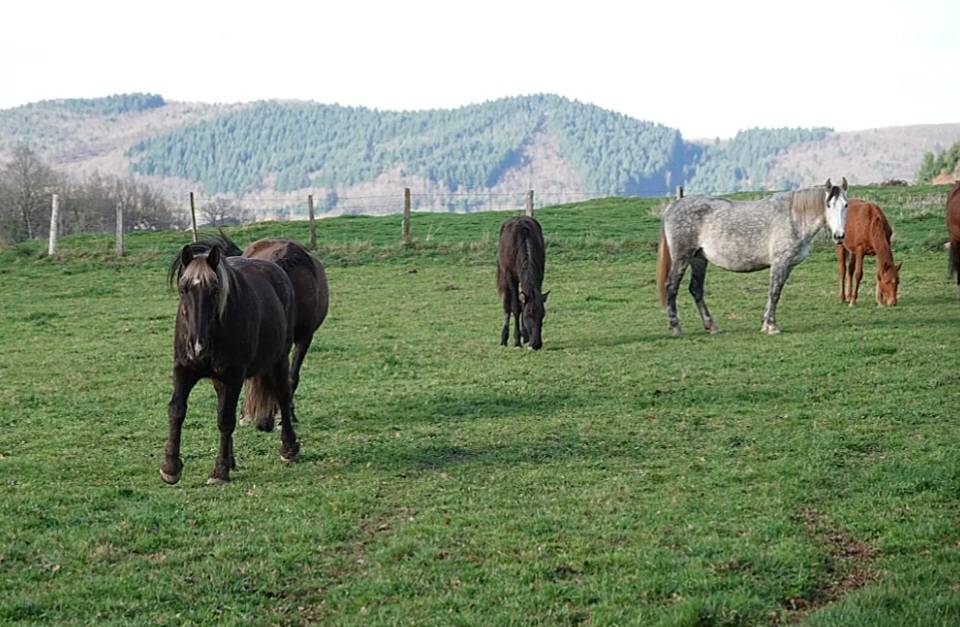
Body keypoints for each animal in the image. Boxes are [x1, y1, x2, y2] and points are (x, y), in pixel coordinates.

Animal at [161, 240, 300, 485]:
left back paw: (288, 448)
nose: (197, 347)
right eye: (183, 289)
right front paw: (170, 467)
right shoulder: (184, 369)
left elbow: (226, 420)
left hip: (279, 360)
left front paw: (220, 471)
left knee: (283, 396)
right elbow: (176, 410)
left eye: (215, 290)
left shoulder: (234, 376)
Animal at [496, 216, 549, 350]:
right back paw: (503, 339)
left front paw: (525, 338)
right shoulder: (510, 277)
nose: (536, 344)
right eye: (528, 316)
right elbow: (515, 307)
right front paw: (517, 341)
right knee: (507, 305)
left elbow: (523, 303)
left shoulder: (540, 275)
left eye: (542, 315)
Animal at [656, 178, 848, 336]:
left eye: (846, 205)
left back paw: (711, 326)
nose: (839, 236)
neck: (794, 218)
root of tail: (673, 207)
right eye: (829, 205)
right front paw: (772, 326)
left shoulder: (788, 266)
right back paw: (676, 327)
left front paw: (765, 324)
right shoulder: (780, 262)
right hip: (682, 258)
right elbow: (774, 292)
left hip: (698, 259)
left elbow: (774, 292)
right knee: (671, 287)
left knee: (696, 289)